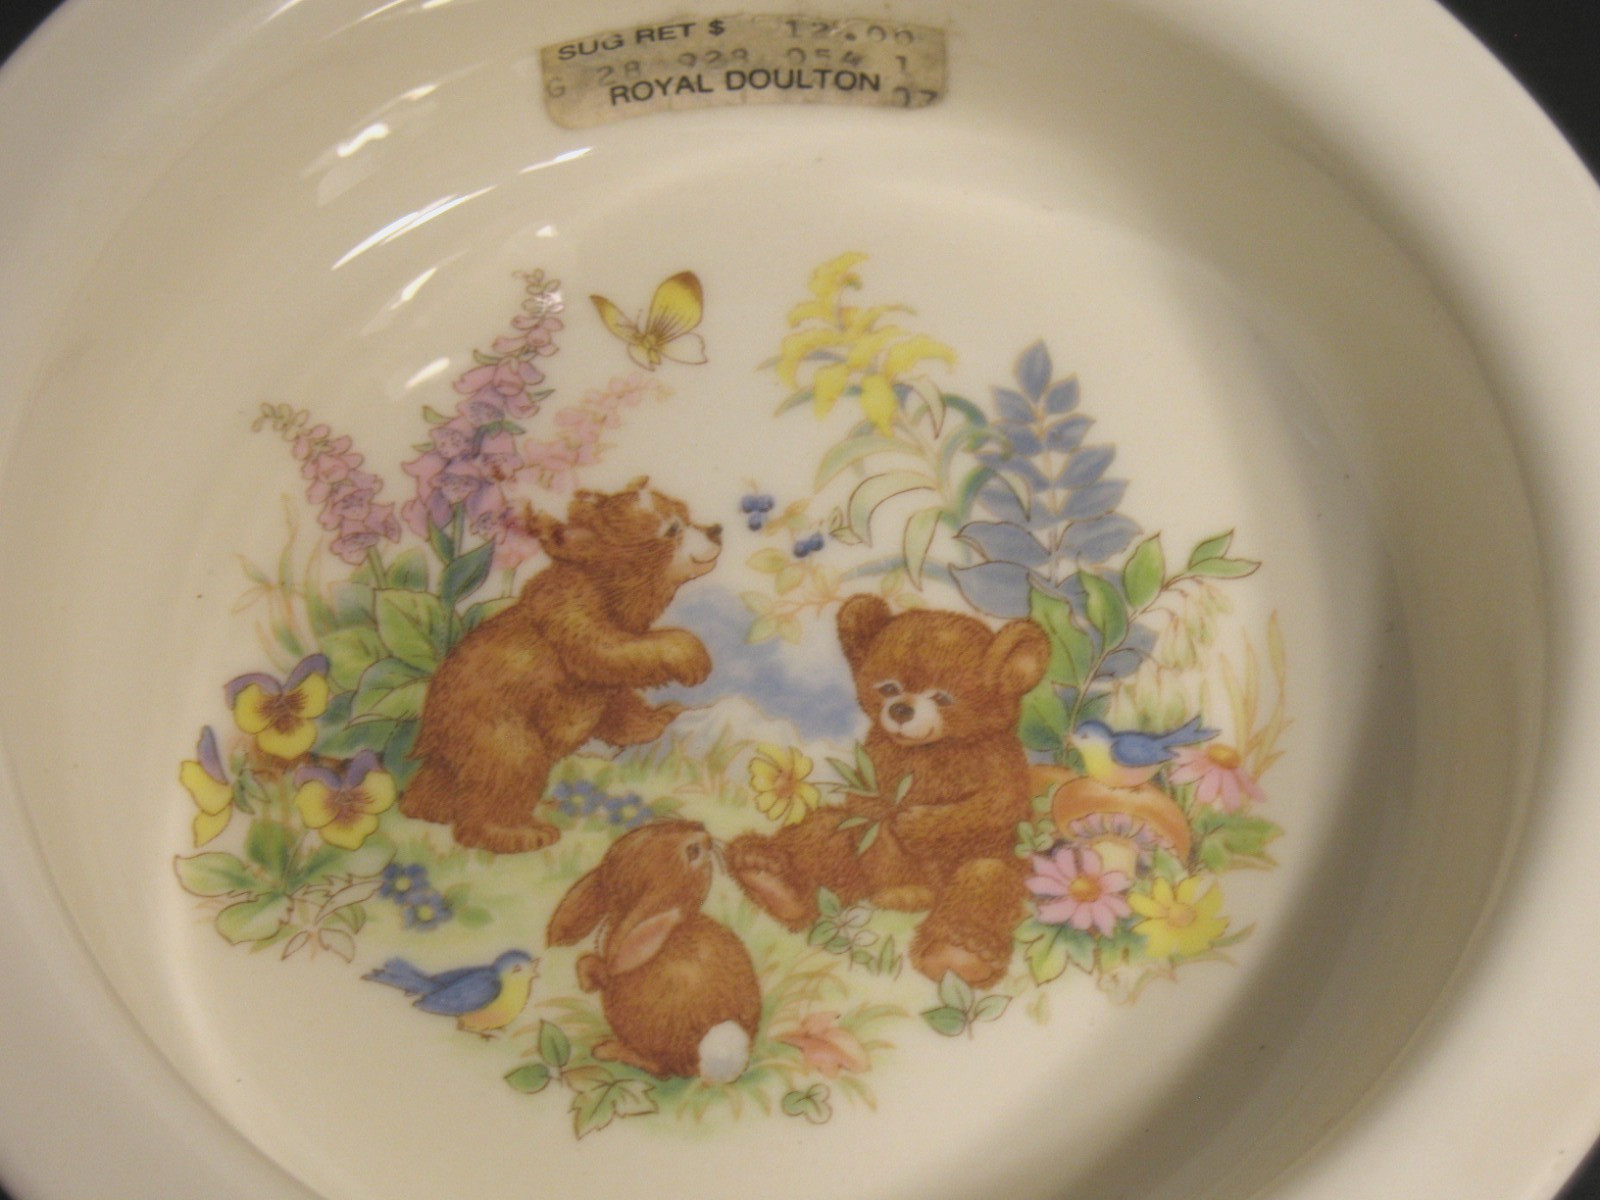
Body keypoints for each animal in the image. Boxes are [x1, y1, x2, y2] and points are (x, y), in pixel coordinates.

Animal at [400, 477, 720, 854]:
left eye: (686, 513)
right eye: (673, 528)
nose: (716, 530)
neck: (612, 591)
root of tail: (430, 724)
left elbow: (616, 694)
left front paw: (656, 717)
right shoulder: (571, 615)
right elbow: (609, 652)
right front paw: (691, 656)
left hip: (455, 744)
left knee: (443, 777)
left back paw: (425, 806)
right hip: (491, 722)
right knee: (511, 764)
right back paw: (516, 832)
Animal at [547, 819, 762, 1082]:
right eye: (693, 850)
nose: (705, 833)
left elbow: (603, 970)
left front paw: (590, 975)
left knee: (660, 1070)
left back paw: (608, 1050)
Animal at [728, 593, 1050, 988]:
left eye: (943, 697)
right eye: (888, 687)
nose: (900, 710)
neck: (929, 749)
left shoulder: (996, 760)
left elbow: (994, 807)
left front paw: (915, 823)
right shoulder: (877, 757)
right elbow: (866, 807)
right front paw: (889, 823)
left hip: (994, 864)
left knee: (986, 877)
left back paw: (958, 953)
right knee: (828, 834)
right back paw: (771, 878)